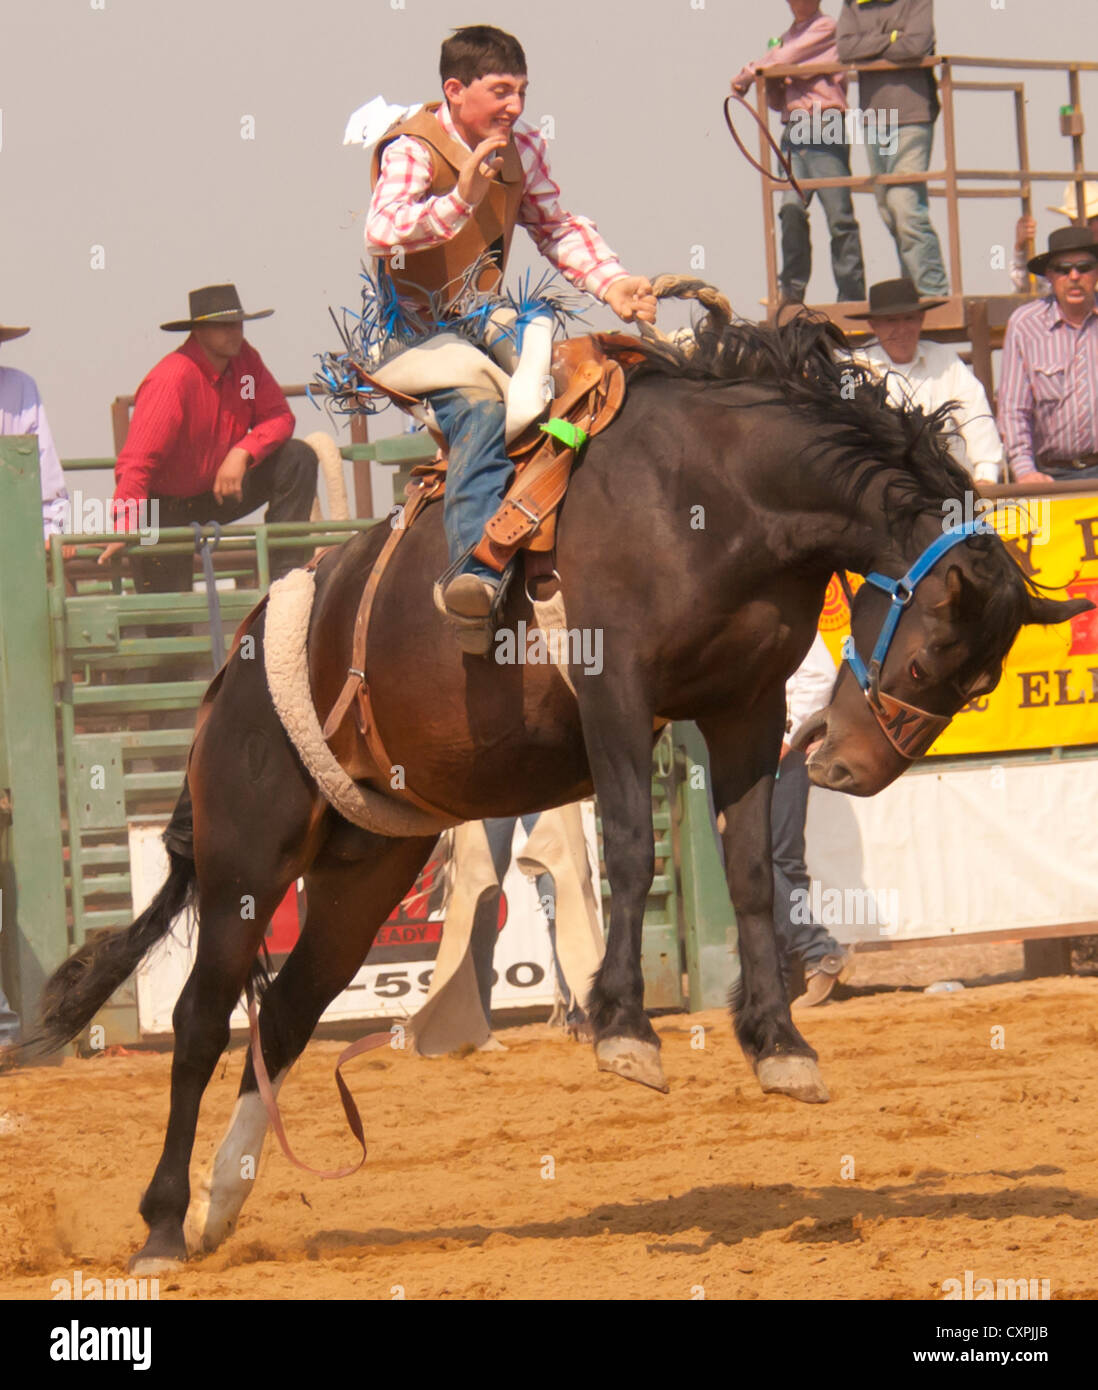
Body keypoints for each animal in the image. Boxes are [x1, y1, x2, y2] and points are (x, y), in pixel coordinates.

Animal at [27, 287, 1089, 1273]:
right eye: (930, 657)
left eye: (980, 683)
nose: (851, 769)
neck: (720, 490)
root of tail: (228, 676)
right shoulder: (615, 691)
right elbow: (629, 848)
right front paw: (625, 1032)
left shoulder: (746, 709)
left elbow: (749, 870)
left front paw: (780, 1047)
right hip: (246, 856)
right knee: (202, 1019)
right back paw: (166, 1225)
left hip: (365, 868)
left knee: (284, 1015)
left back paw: (223, 1200)